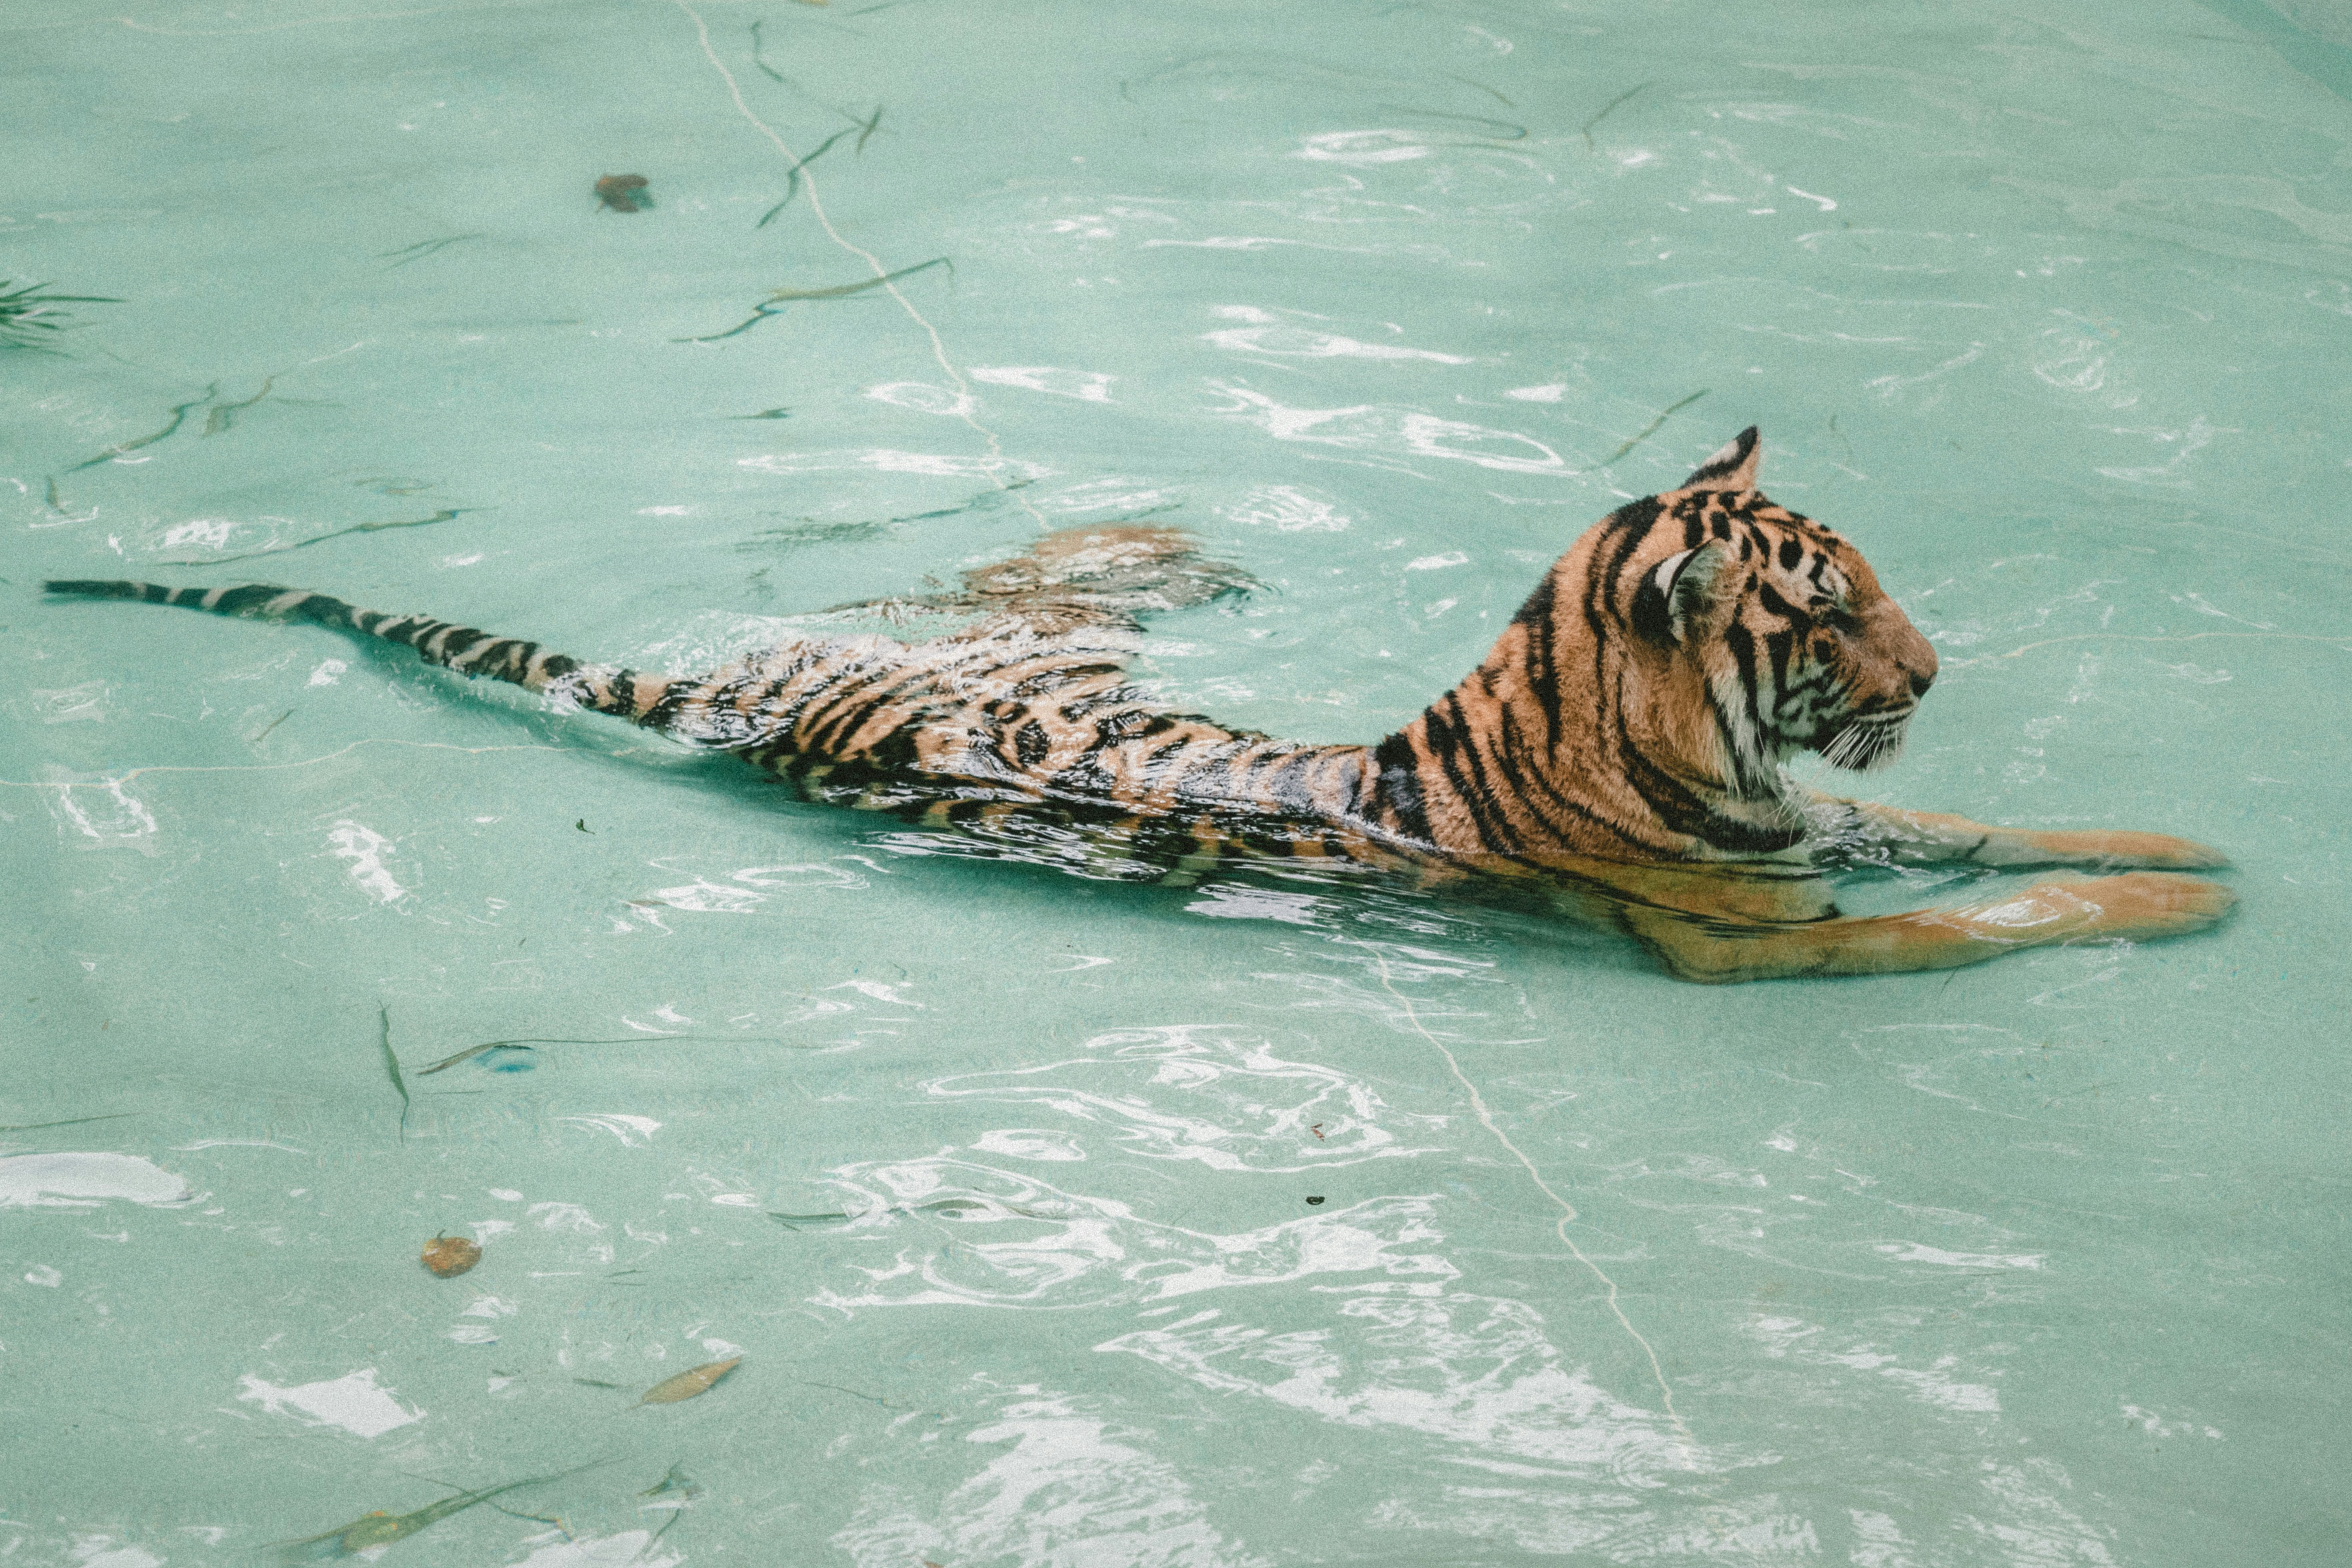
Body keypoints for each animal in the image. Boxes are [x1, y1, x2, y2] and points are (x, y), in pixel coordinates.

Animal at [45, 428, 2233, 982]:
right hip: (961, 641)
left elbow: (1998, 835)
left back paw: (1166, 538)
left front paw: (2189, 841)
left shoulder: (1824, 831)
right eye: (1831, 610)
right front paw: (2179, 899)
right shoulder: (1756, 934)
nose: (1935, 673)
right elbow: (1998, 909)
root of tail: (719, 697)